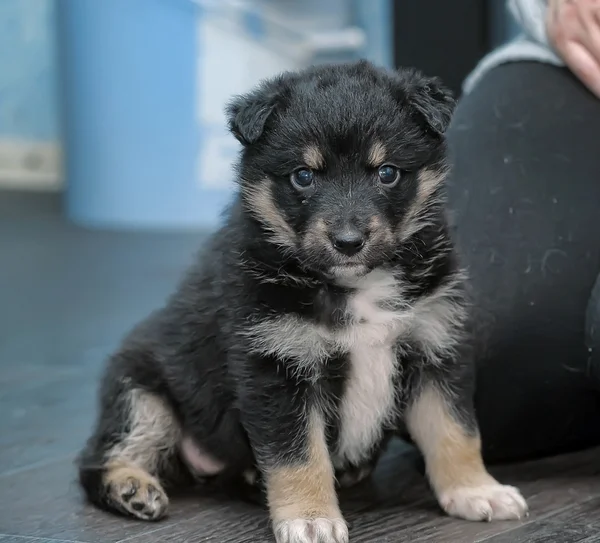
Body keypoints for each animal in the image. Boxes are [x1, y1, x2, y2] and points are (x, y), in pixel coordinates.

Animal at [77, 61, 528, 543]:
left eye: (386, 172)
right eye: (303, 176)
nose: (348, 242)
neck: (354, 284)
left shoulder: (435, 345)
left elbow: (455, 429)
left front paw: (475, 489)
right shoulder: (277, 365)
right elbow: (298, 454)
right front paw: (310, 518)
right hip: (139, 391)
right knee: (99, 457)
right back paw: (131, 487)